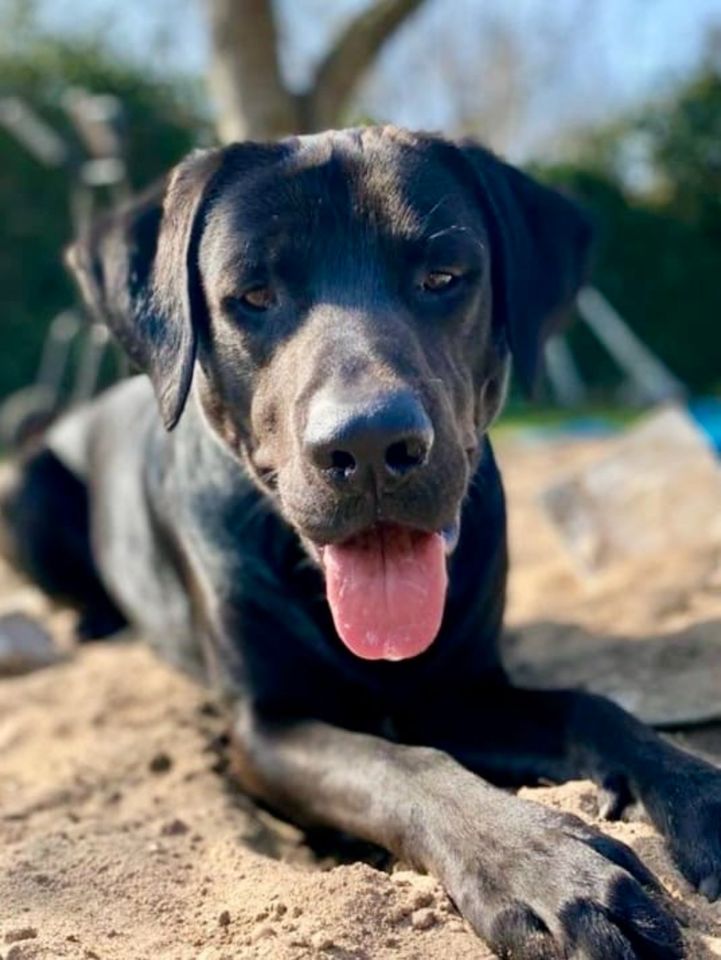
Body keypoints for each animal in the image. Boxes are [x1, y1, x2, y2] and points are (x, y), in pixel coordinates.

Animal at [2, 129, 716, 960]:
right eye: (252, 296)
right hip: (25, 484)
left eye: (443, 277)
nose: (370, 444)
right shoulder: (265, 728)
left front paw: (694, 792)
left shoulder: (460, 691)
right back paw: (93, 621)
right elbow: (397, 763)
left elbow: (592, 707)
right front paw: (545, 870)